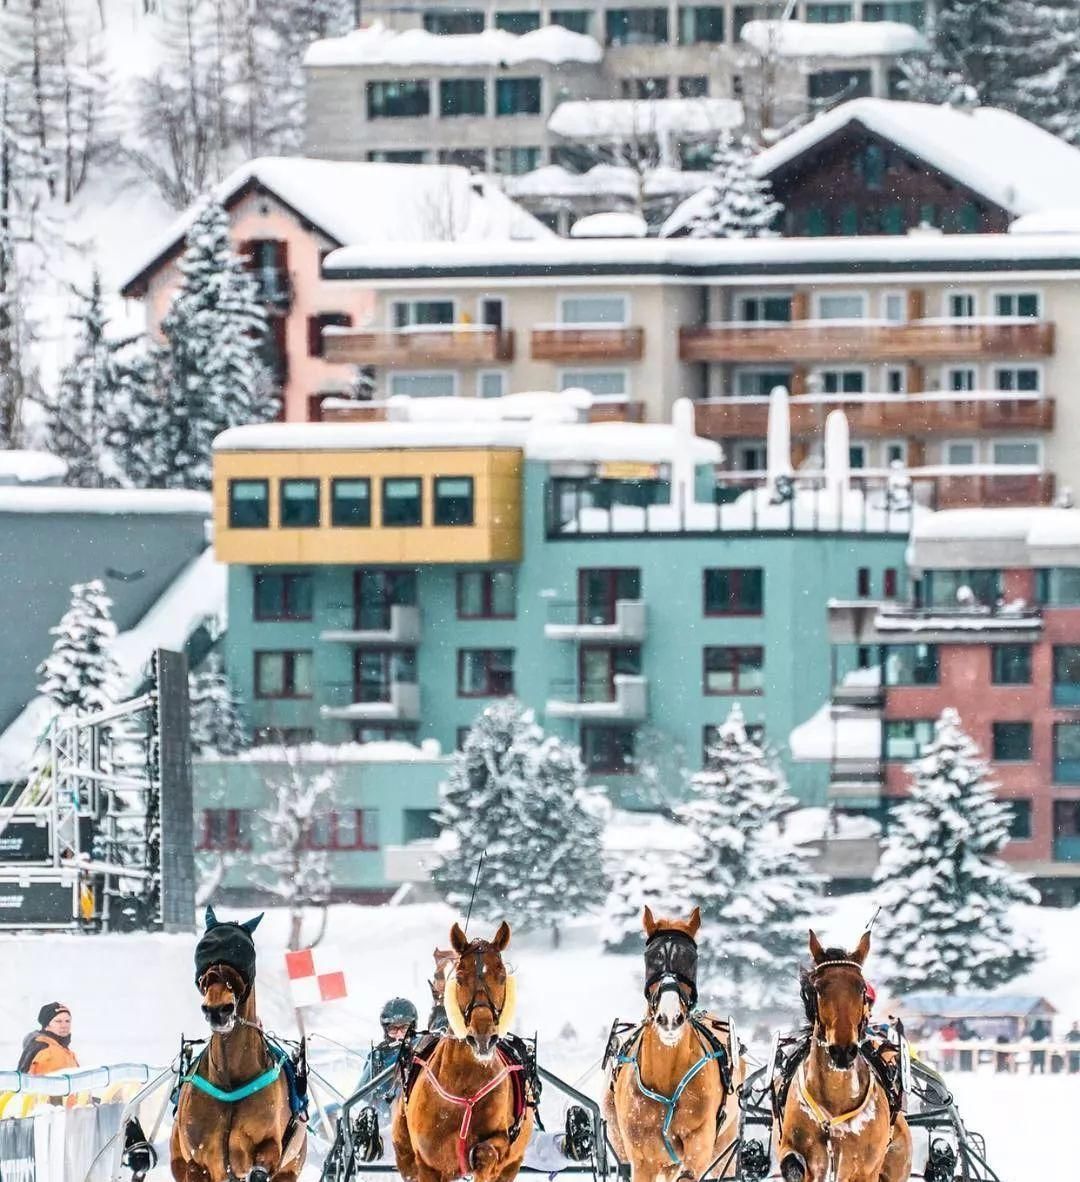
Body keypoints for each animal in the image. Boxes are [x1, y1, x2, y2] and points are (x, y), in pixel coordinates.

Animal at [168, 907, 302, 1182]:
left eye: (242, 952)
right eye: (205, 951)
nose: (218, 1009)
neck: (229, 1082)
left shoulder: (269, 1148)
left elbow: (261, 1166)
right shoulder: (195, 1163)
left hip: (291, 1166)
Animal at [392, 917, 534, 1182]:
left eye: (501, 974)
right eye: (459, 976)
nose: (483, 1037)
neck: (465, 1085)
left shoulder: (502, 1144)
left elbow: (487, 1153)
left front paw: (479, 1157)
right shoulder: (427, 1164)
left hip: (512, 1165)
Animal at [602, 907, 746, 1177]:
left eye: (691, 958)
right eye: (652, 957)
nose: (670, 1017)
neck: (666, 1079)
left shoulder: (699, 1144)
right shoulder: (642, 1160)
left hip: (724, 1143)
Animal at [775, 931, 907, 1182]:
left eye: (861, 988)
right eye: (817, 989)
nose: (843, 1051)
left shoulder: (865, 1168)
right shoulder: (793, 1145)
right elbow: (793, 1164)